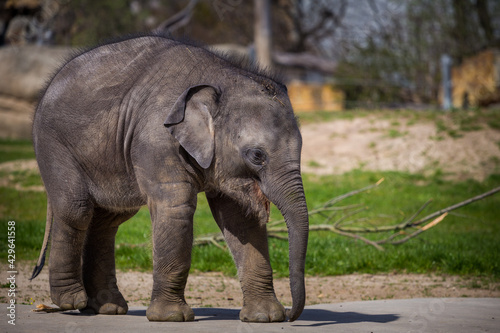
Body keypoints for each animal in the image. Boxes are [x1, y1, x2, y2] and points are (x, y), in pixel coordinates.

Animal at [31, 34, 308, 322]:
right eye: (257, 155)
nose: (291, 314)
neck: (222, 79)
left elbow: (240, 219)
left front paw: (266, 318)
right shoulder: (157, 141)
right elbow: (176, 208)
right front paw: (172, 317)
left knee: (110, 219)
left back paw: (108, 308)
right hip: (54, 144)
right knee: (77, 209)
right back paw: (70, 301)